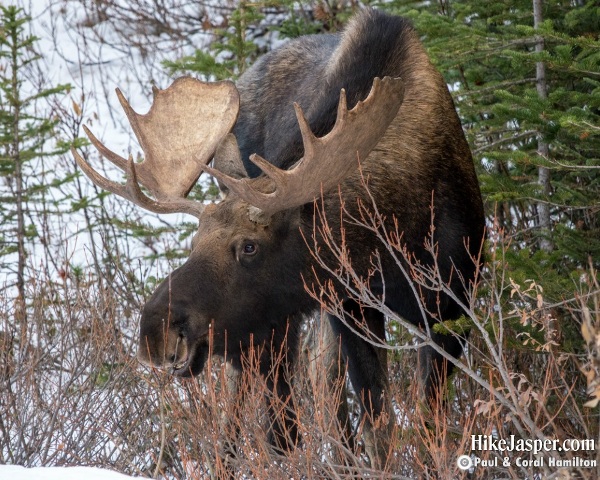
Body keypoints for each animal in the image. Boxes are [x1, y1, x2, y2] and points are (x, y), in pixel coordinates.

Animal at [72, 8, 486, 468]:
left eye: (250, 246)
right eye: (193, 243)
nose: (154, 331)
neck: (395, 240)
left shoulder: (454, 305)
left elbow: (427, 426)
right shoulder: (350, 307)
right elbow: (379, 427)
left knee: (315, 393)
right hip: (266, 326)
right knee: (267, 415)